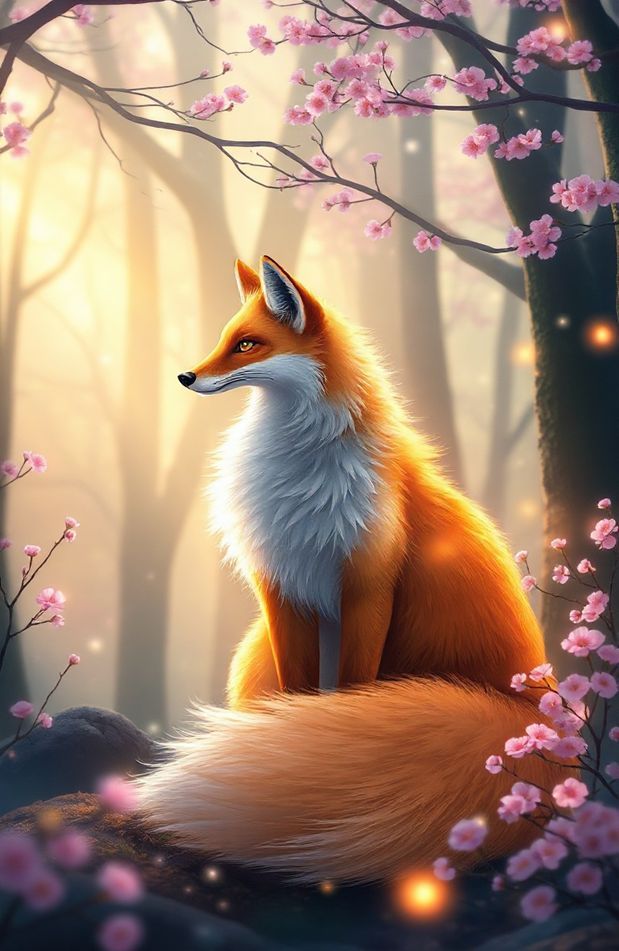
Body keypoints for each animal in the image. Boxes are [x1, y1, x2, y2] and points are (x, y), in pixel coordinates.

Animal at [137, 255, 569, 884]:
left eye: (248, 344)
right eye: (226, 338)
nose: (185, 377)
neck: (300, 473)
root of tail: (542, 718)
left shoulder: (367, 586)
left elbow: (350, 686)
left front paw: (311, 737)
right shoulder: (283, 587)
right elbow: (296, 688)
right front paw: (287, 737)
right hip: (254, 648)